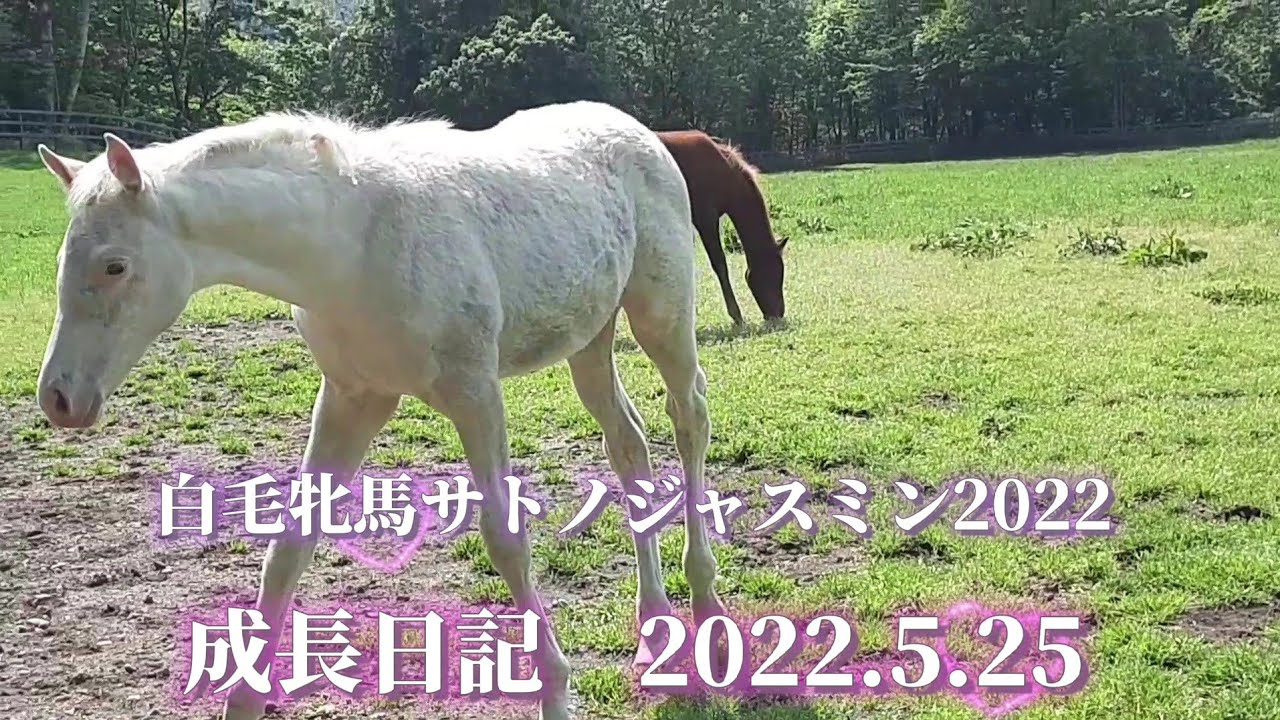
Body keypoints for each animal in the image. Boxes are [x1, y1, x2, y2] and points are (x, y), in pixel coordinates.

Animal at [33, 100, 729, 720]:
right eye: (62, 261)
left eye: (115, 265)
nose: (59, 399)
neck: (352, 246)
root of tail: (638, 130)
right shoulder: (352, 397)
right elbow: (289, 545)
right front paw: (244, 699)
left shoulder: (475, 391)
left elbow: (505, 541)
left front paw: (555, 693)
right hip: (589, 339)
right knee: (628, 444)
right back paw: (656, 626)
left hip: (661, 315)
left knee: (689, 417)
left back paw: (708, 610)